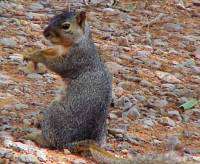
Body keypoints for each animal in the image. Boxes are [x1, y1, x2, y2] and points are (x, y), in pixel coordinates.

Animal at [23, 10, 192, 164]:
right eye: (54, 17)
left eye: (66, 26)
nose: (45, 33)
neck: (76, 42)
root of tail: (73, 143)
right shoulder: (58, 49)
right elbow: (48, 50)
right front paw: (31, 53)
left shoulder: (77, 59)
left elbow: (56, 64)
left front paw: (36, 56)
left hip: (55, 115)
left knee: (52, 142)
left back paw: (34, 136)